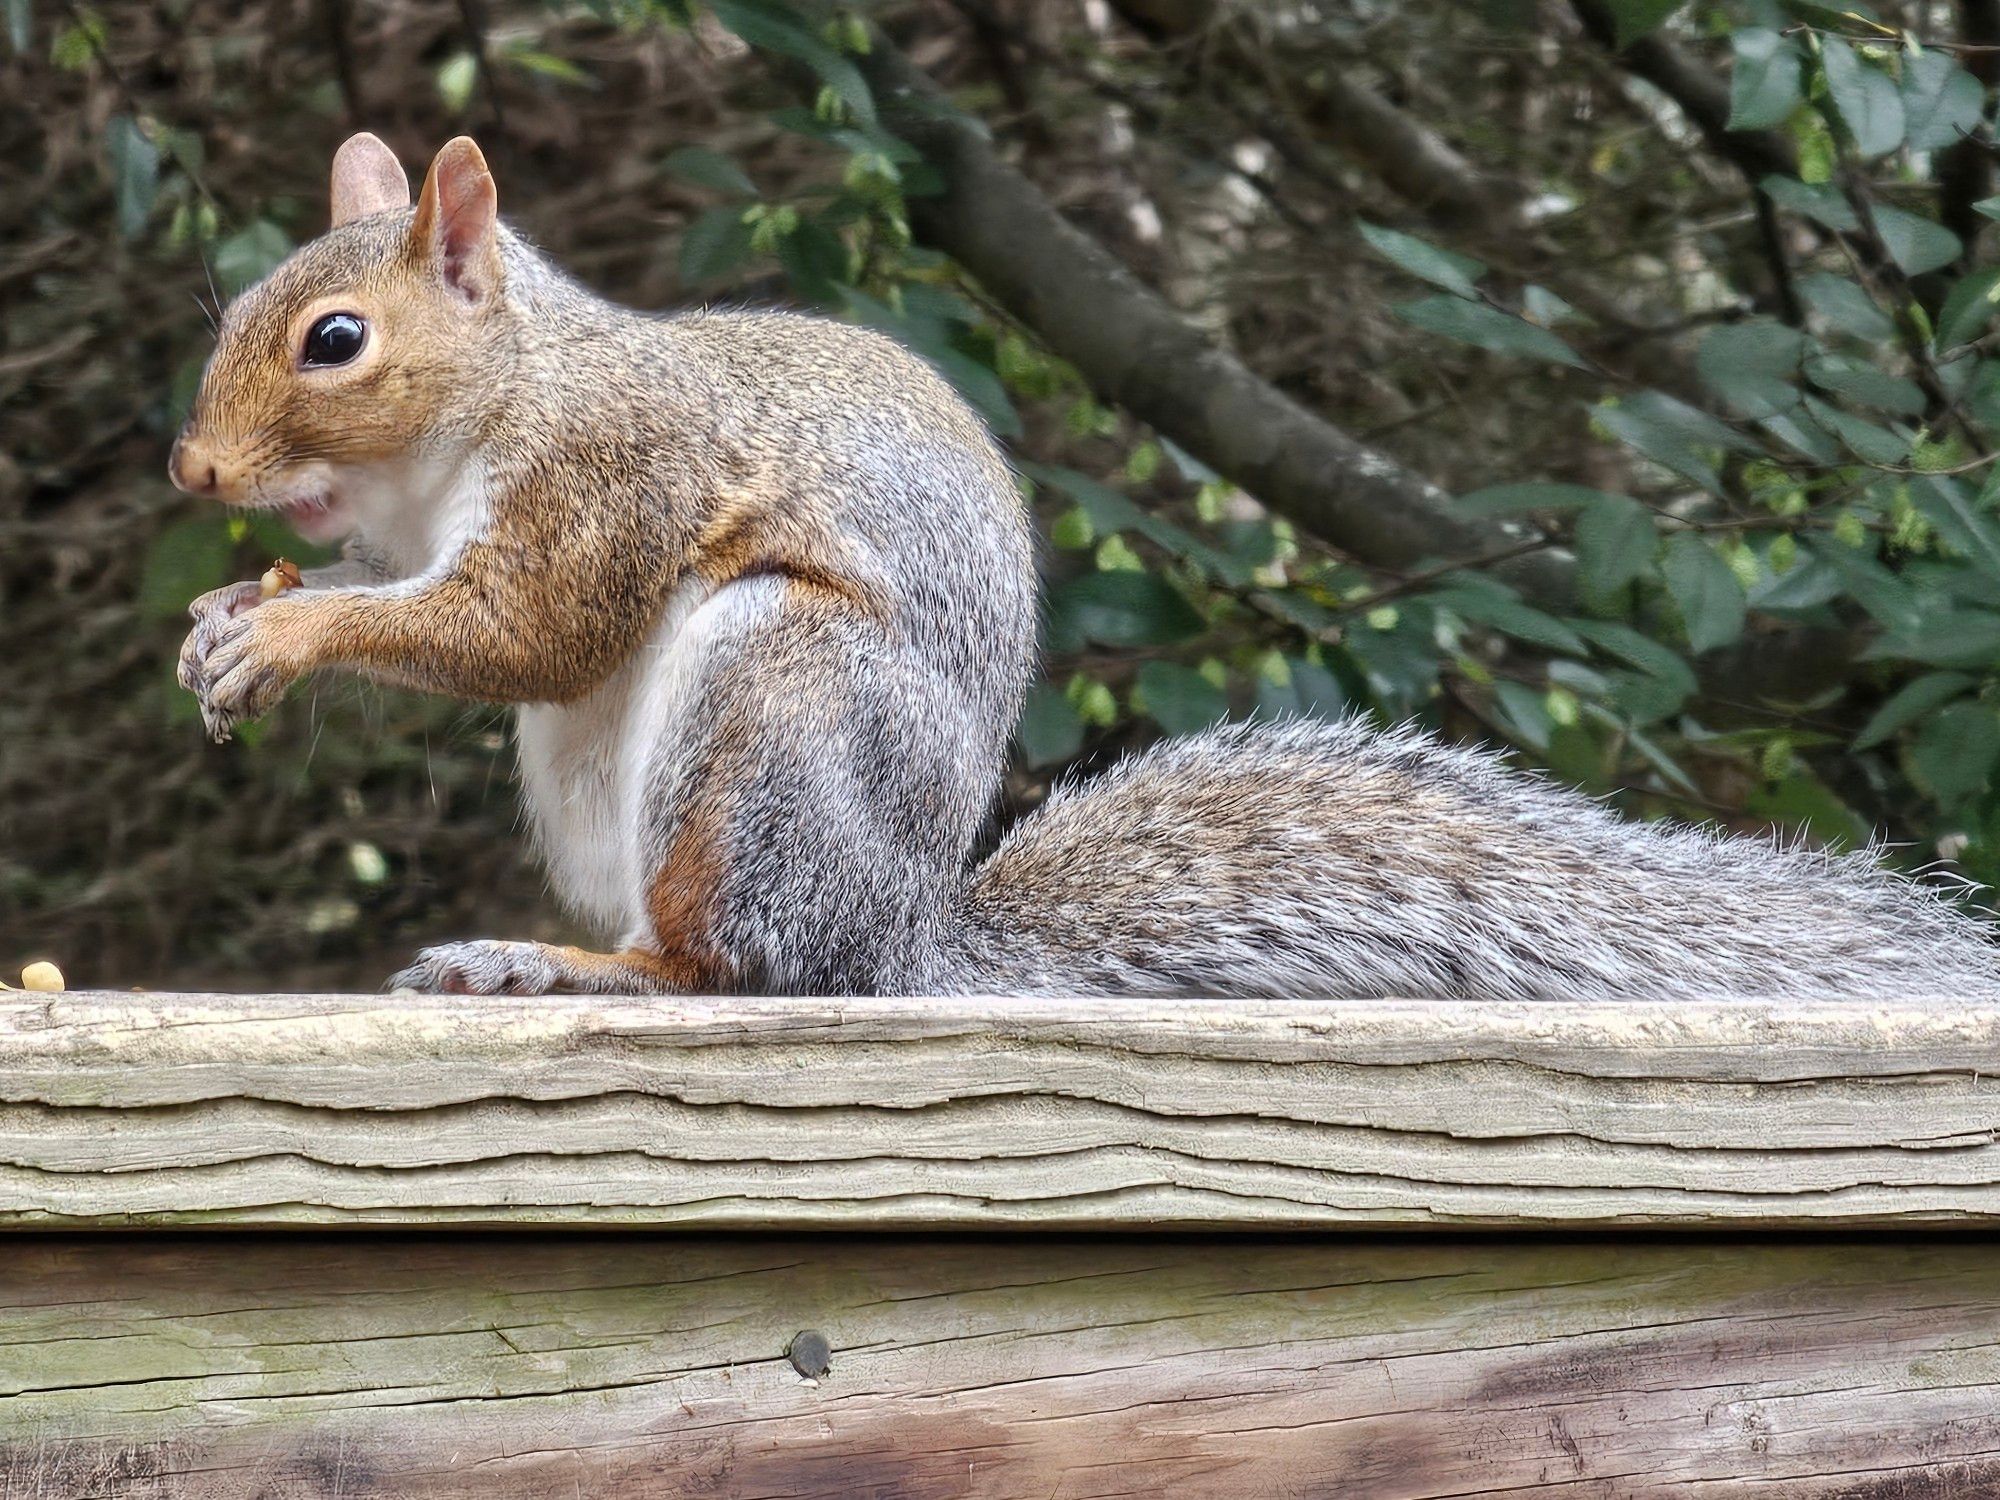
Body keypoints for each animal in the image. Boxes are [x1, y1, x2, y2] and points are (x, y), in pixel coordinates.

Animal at [172, 135, 2000, 1004]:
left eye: (336, 339)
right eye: (241, 306)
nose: (192, 474)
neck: (499, 402)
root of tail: (911, 925)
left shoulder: (614, 472)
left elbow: (528, 625)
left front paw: (294, 635)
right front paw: (228, 613)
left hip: (771, 699)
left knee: (747, 965)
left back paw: (583, 965)